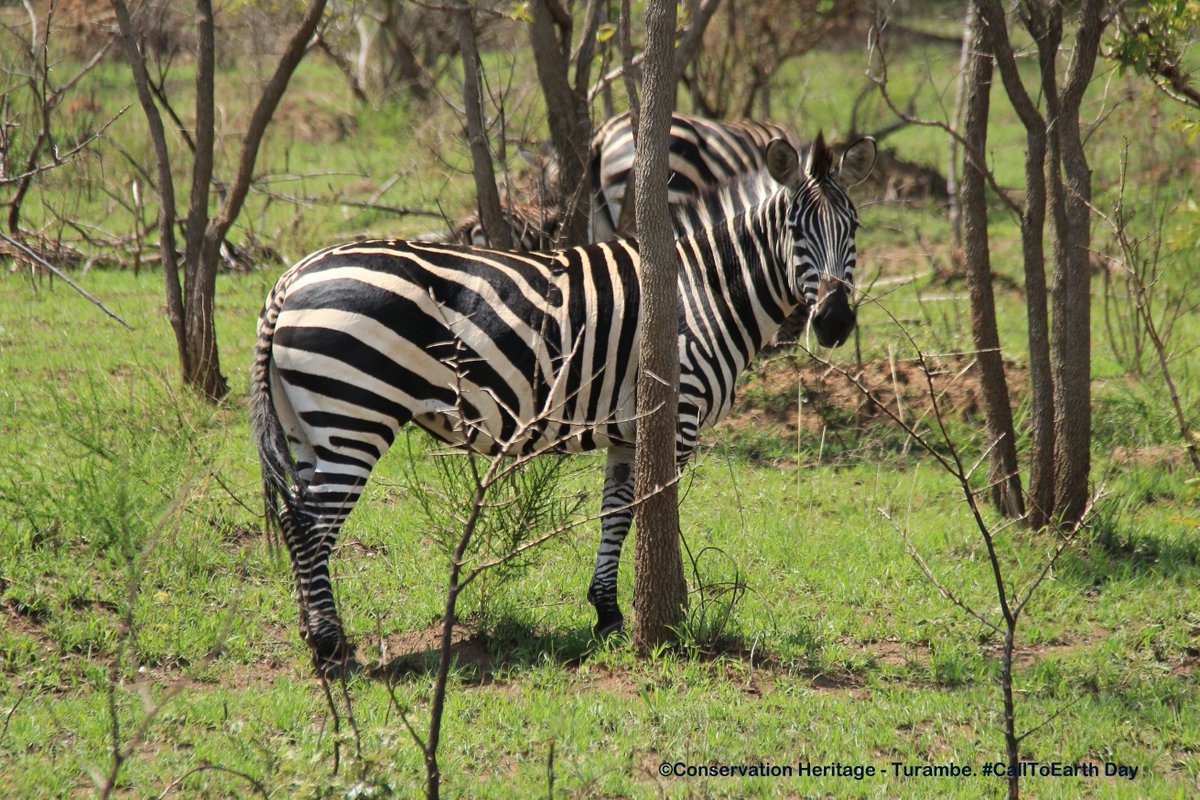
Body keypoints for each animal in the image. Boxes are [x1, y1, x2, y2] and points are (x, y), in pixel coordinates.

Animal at [250, 133, 876, 671]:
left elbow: (617, 514)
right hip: (355, 415)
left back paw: (313, 634)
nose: (835, 322)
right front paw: (656, 612)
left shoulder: (629, 429)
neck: (703, 289)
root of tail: (291, 277)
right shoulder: (675, 414)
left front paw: (608, 615)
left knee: (294, 517)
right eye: (795, 229)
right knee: (311, 525)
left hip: (309, 424)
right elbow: (653, 510)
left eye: (854, 228)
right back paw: (330, 649)